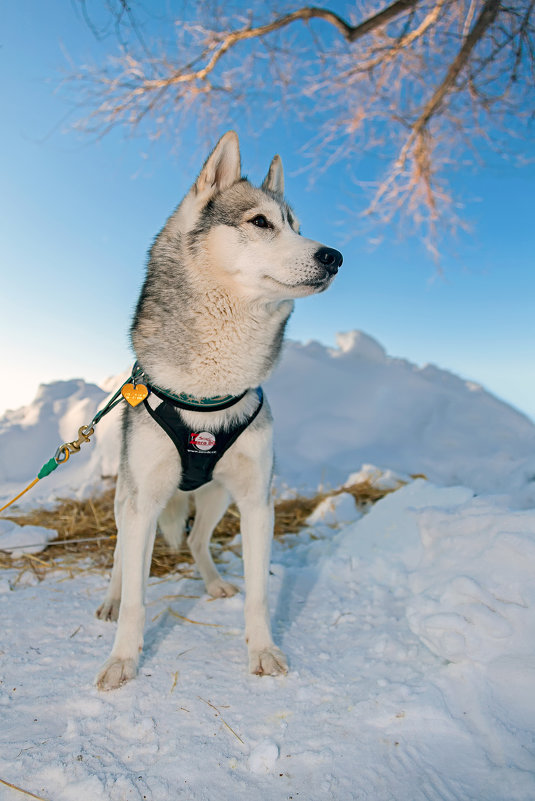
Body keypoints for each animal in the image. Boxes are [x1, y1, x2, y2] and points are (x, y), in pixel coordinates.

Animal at [94, 130, 342, 688]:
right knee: (121, 557)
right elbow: (138, 598)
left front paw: (263, 650)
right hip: (126, 499)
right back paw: (112, 601)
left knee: (196, 543)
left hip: (215, 498)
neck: (208, 393)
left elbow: (260, 593)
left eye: (296, 226)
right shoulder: (143, 503)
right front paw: (122, 660)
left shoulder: (256, 501)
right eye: (261, 222)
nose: (335, 256)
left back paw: (212, 584)